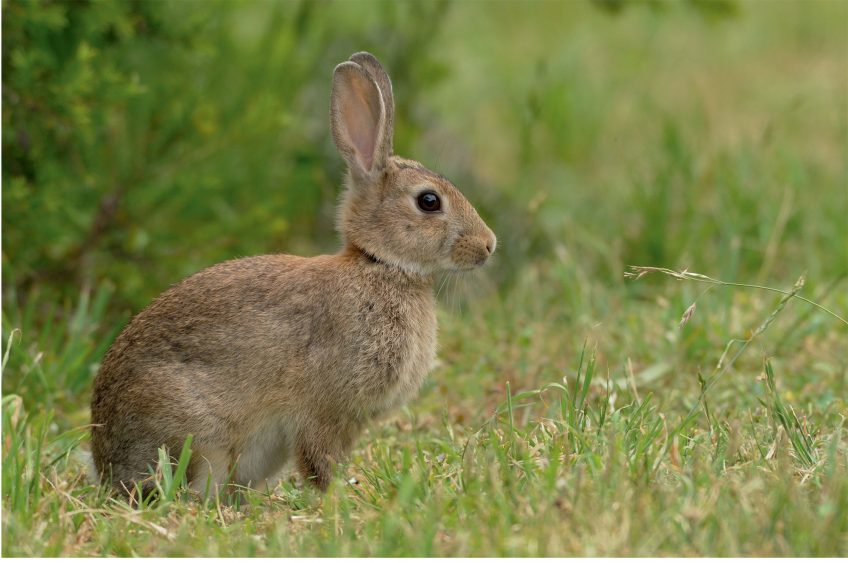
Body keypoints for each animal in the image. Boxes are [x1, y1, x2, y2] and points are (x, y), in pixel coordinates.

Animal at [90, 52, 496, 496]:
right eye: (429, 202)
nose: (489, 245)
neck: (378, 264)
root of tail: (105, 461)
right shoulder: (325, 408)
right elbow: (319, 458)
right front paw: (336, 496)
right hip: (197, 436)